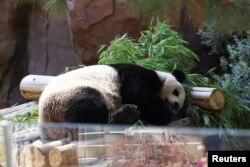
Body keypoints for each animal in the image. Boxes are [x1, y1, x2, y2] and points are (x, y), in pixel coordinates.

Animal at [37, 63, 186, 140]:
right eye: (176, 92)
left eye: (180, 106)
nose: (176, 106)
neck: (160, 78)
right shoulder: (137, 75)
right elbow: (135, 93)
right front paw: (165, 114)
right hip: (69, 95)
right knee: (89, 106)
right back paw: (124, 116)